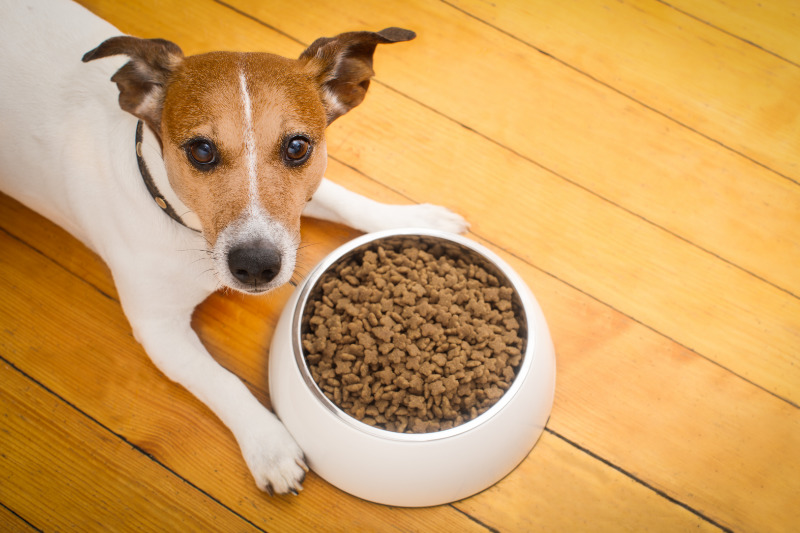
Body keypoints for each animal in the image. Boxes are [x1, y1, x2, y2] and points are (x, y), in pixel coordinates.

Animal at [0, 0, 468, 494]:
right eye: (201, 150)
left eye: (298, 147)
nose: (256, 266)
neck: (184, 225)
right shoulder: (159, 329)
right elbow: (222, 381)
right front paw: (270, 447)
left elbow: (341, 197)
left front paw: (416, 219)